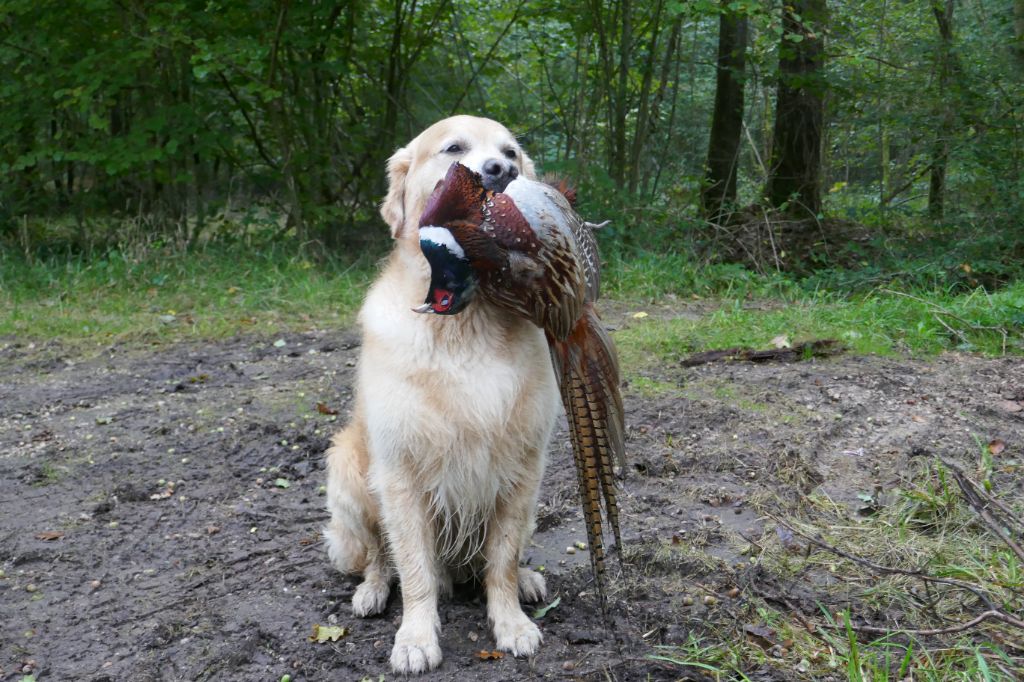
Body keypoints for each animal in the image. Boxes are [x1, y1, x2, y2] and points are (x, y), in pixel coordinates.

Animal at [321, 115, 557, 667]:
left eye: (511, 152)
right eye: (454, 149)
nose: (501, 171)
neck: (467, 318)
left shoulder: (522, 464)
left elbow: (503, 560)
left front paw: (512, 622)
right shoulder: (401, 473)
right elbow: (414, 570)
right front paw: (415, 638)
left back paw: (529, 579)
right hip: (347, 472)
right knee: (378, 555)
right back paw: (371, 590)